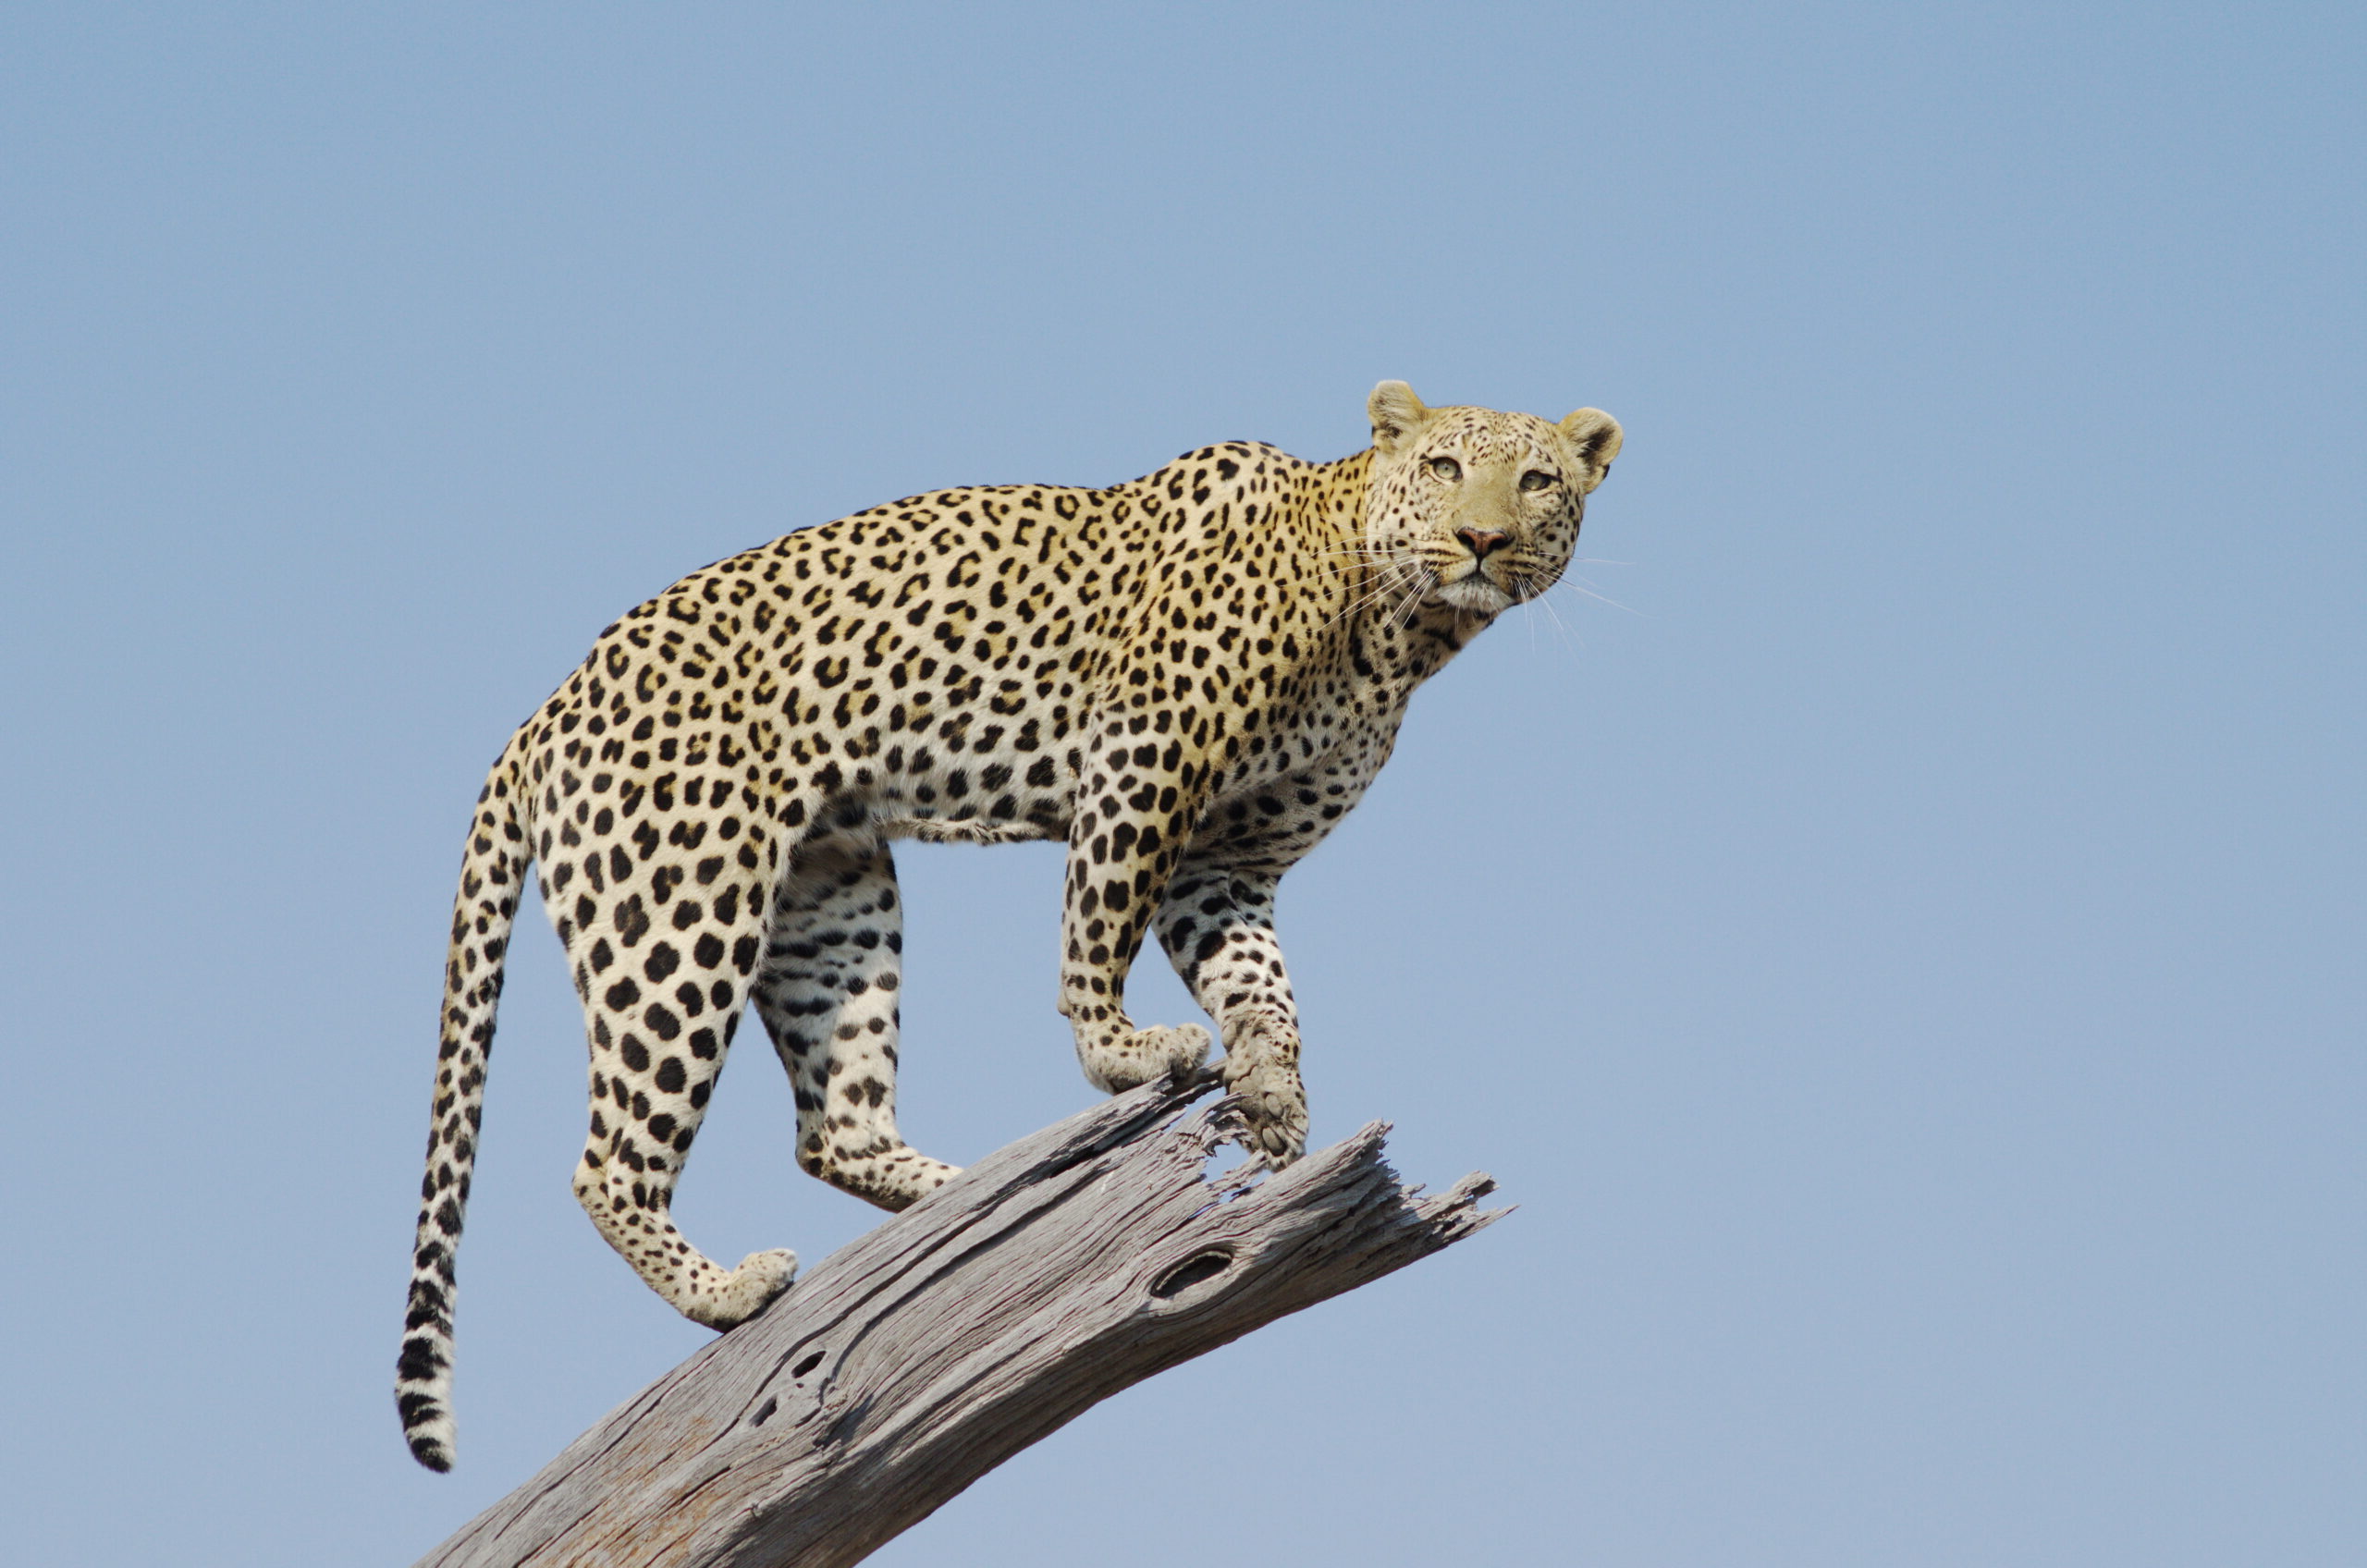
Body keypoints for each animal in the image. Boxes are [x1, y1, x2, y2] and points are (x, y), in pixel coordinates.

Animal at [396, 381, 1622, 1470]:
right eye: (1445, 466)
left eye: (1537, 481)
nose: (1479, 538)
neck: (1398, 628)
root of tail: (541, 714)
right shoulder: (1146, 752)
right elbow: (1100, 916)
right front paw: (1122, 1051)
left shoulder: (1226, 863)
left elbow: (1262, 982)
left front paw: (1274, 1097)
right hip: (681, 905)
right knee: (608, 1162)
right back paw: (732, 1288)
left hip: (833, 899)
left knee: (834, 1126)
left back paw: (969, 1200)